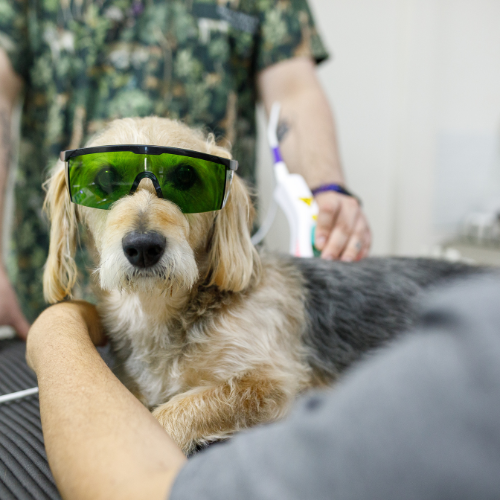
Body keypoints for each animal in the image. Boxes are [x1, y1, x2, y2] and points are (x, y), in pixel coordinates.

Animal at [43, 116, 480, 454]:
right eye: (104, 179)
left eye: (187, 177)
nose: (144, 246)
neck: (166, 311)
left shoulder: (273, 385)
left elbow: (173, 412)